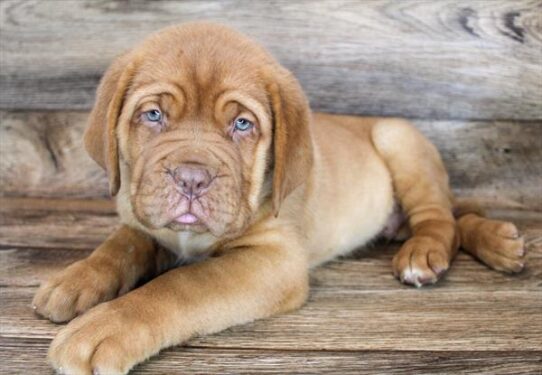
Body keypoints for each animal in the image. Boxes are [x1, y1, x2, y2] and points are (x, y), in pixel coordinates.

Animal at [30, 23, 528, 375]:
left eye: (242, 125)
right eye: (153, 115)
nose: (191, 179)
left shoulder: (273, 259)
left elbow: (182, 285)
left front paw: (105, 327)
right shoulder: (146, 222)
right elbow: (120, 244)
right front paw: (75, 281)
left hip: (397, 137)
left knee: (440, 218)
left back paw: (425, 254)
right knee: (459, 215)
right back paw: (502, 243)